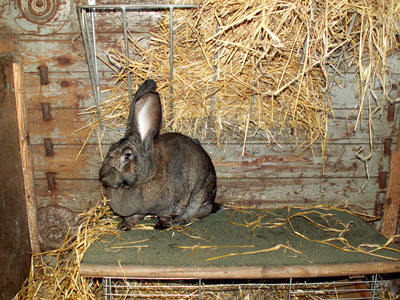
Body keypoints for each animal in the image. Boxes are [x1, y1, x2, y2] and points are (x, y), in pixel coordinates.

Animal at [100, 79, 219, 230]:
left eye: (126, 156)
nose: (102, 176)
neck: (148, 175)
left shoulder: (174, 205)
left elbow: (166, 216)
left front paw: (161, 225)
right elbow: (133, 217)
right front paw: (124, 225)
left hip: (200, 200)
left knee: (197, 214)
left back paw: (182, 220)